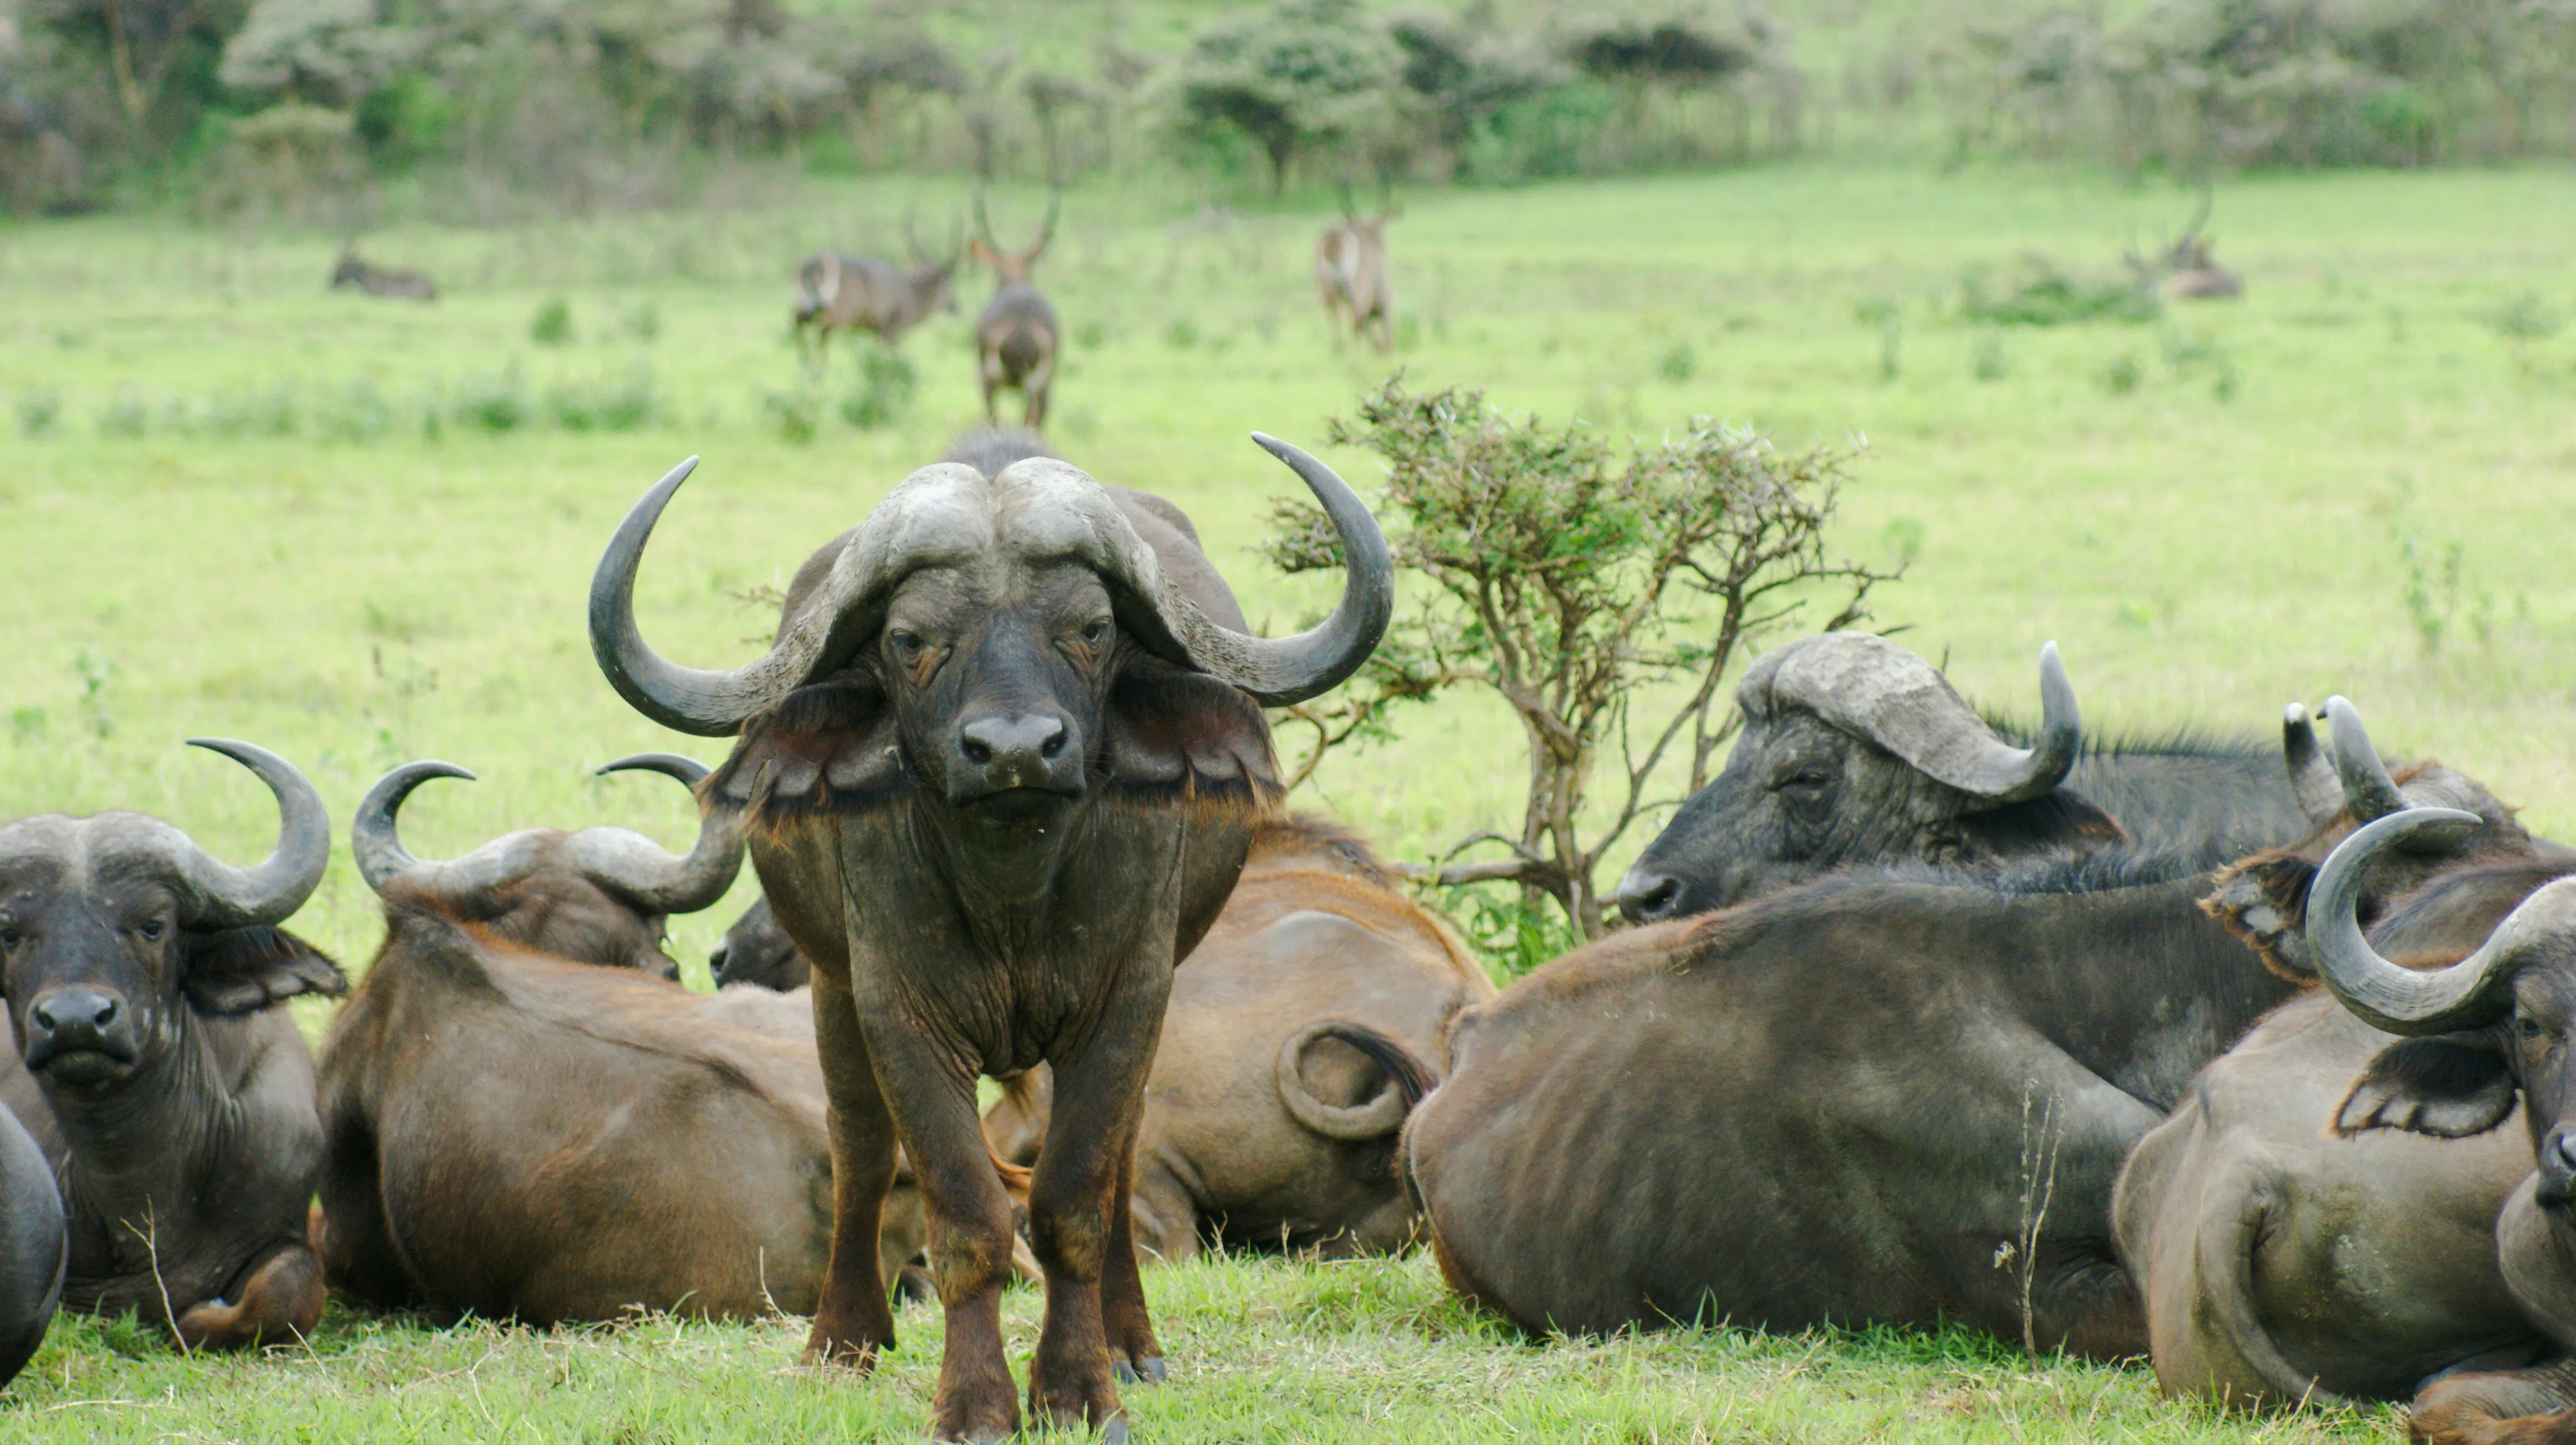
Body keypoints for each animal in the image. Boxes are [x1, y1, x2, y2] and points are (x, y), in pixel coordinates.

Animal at [589, 433, 1389, 1440]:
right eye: (909, 639)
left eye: (1091, 628)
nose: (1014, 751)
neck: (1013, 887)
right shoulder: (900, 1015)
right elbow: (964, 1211)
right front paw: (974, 1402)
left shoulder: (1128, 1003)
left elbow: (1076, 1197)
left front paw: (1081, 1388)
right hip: (830, 988)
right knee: (859, 1147)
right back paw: (842, 1341)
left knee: (1121, 1157)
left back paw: (1131, 1344)